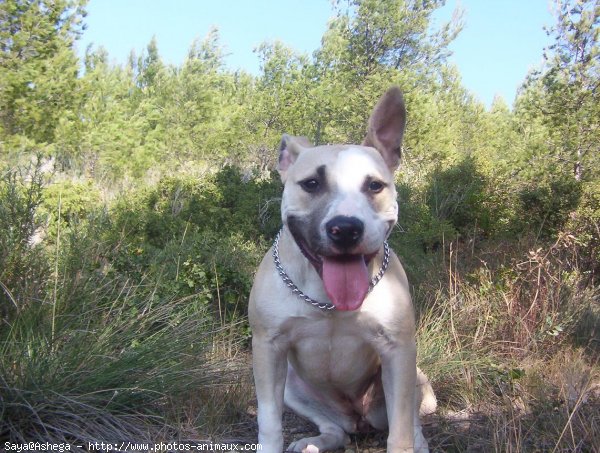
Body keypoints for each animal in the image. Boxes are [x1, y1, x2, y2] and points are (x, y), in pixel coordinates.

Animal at [248, 86, 436, 450]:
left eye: (375, 186)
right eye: (311, 184)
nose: (346, 228)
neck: (327, 299)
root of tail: (358, 419)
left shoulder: (398, 351)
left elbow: (401, 430)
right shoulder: (268, 348)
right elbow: (269, 423)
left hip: (412, 376)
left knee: (411, 421)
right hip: (293, 386)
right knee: (336, 430)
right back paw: (314, 442)